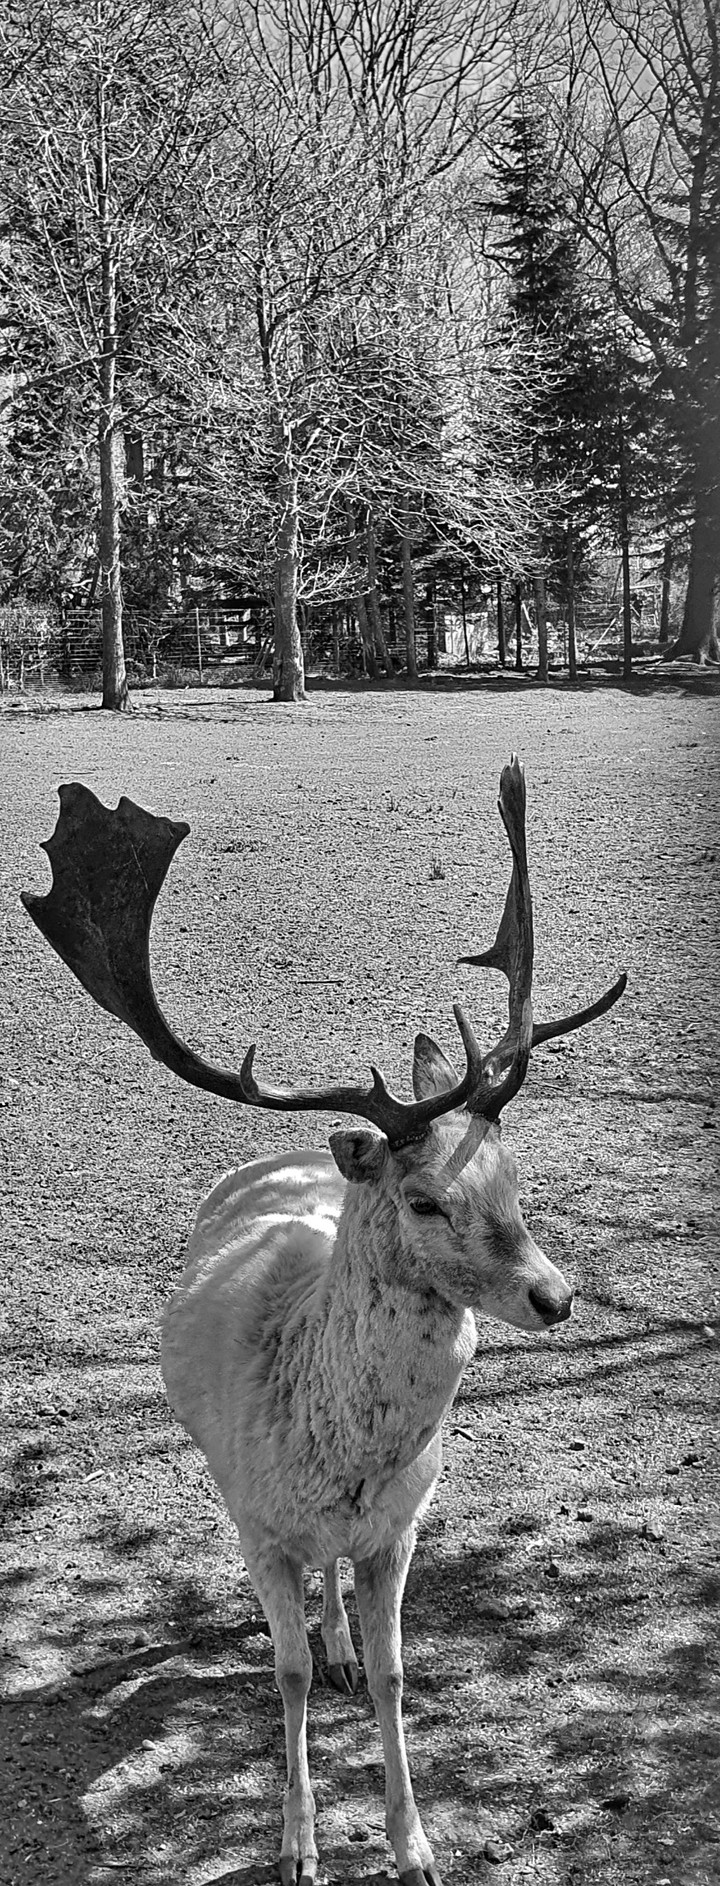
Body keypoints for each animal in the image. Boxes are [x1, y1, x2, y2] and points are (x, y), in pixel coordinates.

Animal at [23, 758, 626, 1886]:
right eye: (426, 1199)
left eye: (512, 1175)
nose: (556, 1296)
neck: (339, 1449)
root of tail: (296, 1152)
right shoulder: (259, 1524)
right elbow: (286, 1672)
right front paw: (299, 1847)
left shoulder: (403, 1525)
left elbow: (395, 1675)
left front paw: (415, 1845)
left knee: (336, 1582)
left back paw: (345, 1643)